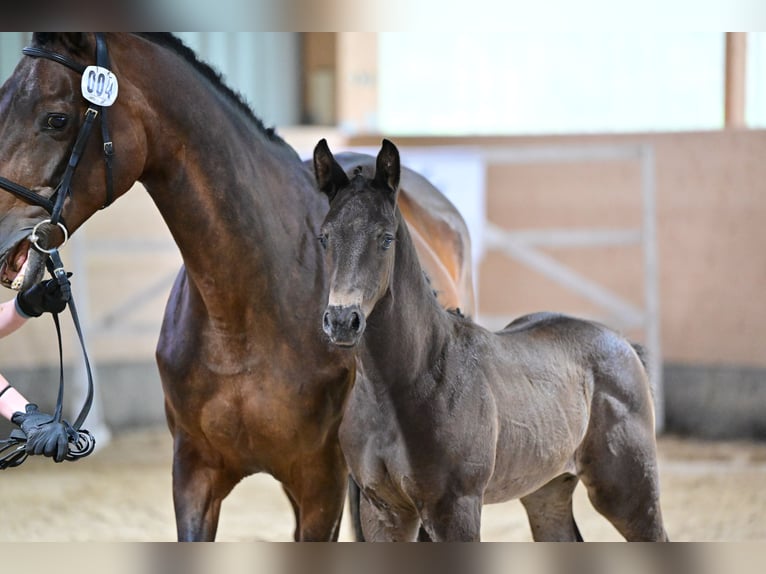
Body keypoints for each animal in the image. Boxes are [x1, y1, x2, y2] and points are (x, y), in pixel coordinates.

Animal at [316, 140, 668, 544]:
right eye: (324, 237)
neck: (408, 381)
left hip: (628, 490)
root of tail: (623, 343)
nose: (342, 321)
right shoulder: (383, 510)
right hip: (546, 489)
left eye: (385, 238)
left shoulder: (457, 507)